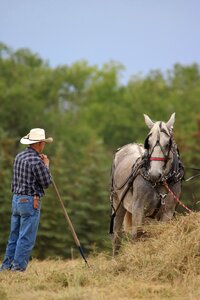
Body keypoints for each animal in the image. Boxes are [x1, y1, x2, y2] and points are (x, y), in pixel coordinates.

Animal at [109, 113, 184, 255]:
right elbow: (137, 235)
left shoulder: (167, 212)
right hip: (118, 203)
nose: (154, 174)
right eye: (148, 143)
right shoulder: (138, 208)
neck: (160, 183)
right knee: (117, 235)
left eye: (168, 144)